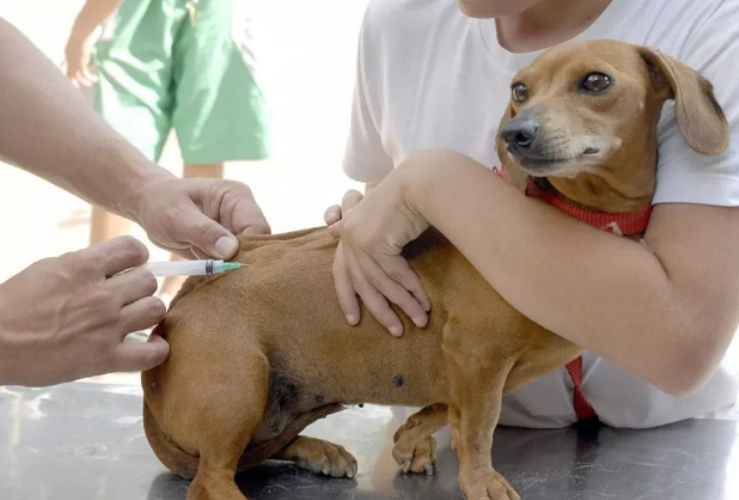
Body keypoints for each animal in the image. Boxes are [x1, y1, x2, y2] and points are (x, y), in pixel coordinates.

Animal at [142, 38, 732, 500]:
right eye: (520, 89)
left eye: (595, 80)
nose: (516, 134)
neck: (572, 216)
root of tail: (179, 305)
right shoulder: (477, 356)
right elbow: (477, 428)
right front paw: (481, 481)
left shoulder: (471, 369)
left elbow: (447, 408)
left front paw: (411, 439)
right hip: (241, 385)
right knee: (213, 478)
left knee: (262, 450)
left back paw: (320, 450)